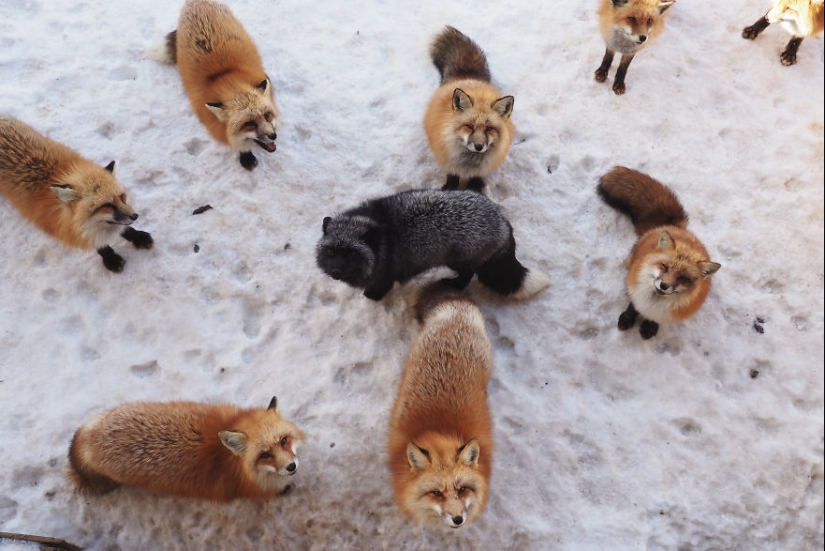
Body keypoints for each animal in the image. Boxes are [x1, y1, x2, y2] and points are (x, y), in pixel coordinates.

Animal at [0, 115, 153, 272]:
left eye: (122, 197)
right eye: (106, 205)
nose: (135, 216)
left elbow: (123, 227)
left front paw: (137, 236)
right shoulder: (70, 228)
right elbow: (96, 242)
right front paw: (111, 258)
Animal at [155, 0, 280, 171]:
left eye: (267, 115)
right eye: (249, 124)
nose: (273, 136)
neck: (226, 76)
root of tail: (196, 2)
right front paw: (246, 156)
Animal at [424, 26, 515, 191]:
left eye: (489, 128)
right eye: (469, 126)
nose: (478, 146)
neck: (470, 163)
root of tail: (468, 76)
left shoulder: (482, 169)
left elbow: (477, 177)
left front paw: (475, 187)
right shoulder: (449, 159)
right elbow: (452, 176)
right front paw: (450, 188)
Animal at [597, 166, 721, 339]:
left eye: (683, 277)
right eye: (664, 266)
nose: (664, 285)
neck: (654, 301)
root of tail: (672, 225)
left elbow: (655, 319)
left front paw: (650, 326)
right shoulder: (636, 291)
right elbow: (633, 306)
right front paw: (627, 318)